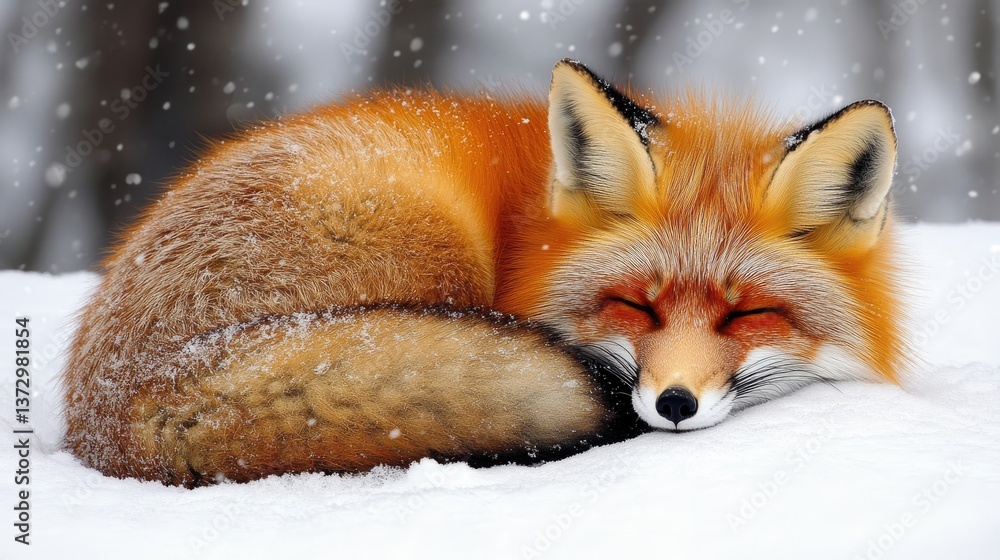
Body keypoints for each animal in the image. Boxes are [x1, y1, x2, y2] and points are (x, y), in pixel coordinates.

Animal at [62, 59, 909, 486]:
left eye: (746, 314)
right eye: (635, 306)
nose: (673, 403)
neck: (533, 236)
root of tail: (116, 404)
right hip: (429, 252)